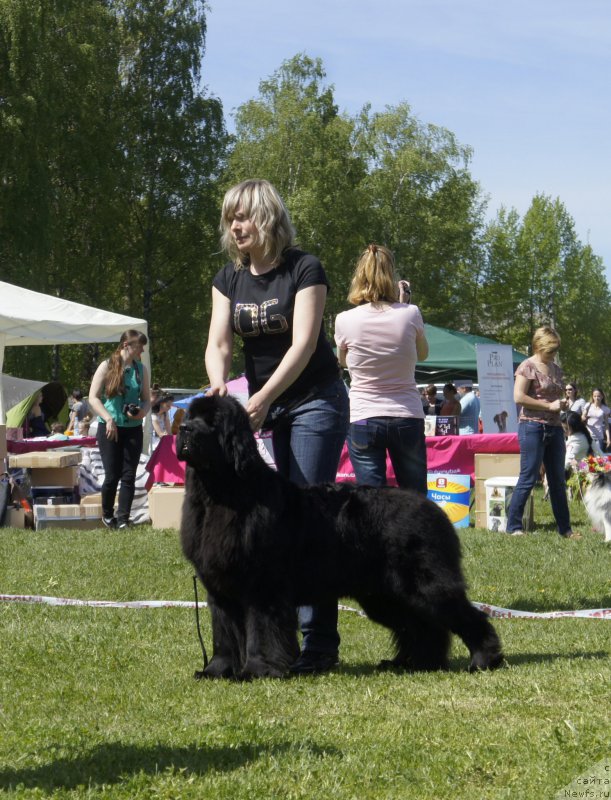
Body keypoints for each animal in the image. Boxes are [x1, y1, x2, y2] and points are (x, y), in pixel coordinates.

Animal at [176, 396, 502, 680]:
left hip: (424, 583)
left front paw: (257, 671)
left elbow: (260, 633)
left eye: (213, 422)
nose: (184, 429)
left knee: (465, 616)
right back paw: (418, 663)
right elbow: (224, 636)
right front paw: (216, 671)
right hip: (384, 594)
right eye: (190, 416)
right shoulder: (220, 589)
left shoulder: (262, 587)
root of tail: (432, 507)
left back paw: (483, 659)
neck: (220, 494)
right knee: (423, 625)